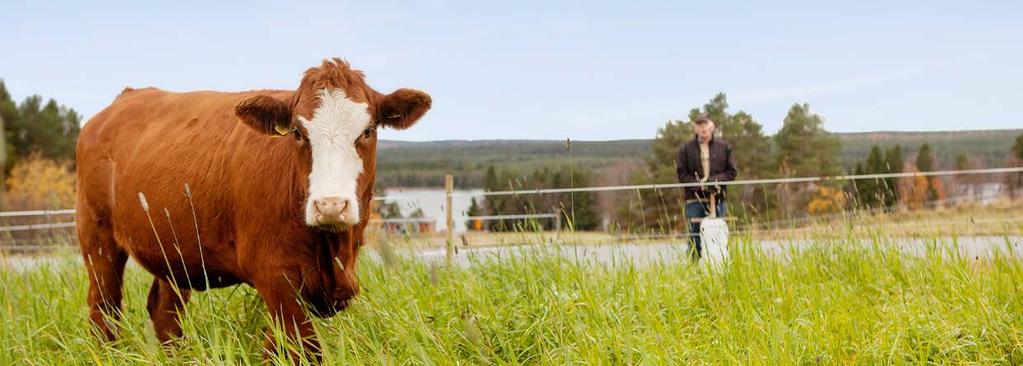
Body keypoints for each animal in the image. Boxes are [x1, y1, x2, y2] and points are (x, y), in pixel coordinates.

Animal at [76, 58, 431, 355]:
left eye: (367, 131)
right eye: (298, 133)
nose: (330, 205)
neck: (333, 251)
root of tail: (123, 100)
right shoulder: (275, 277)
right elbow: (300, 348)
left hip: (171, 248)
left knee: (164, 309)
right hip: (97, 236)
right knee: (104, 307)